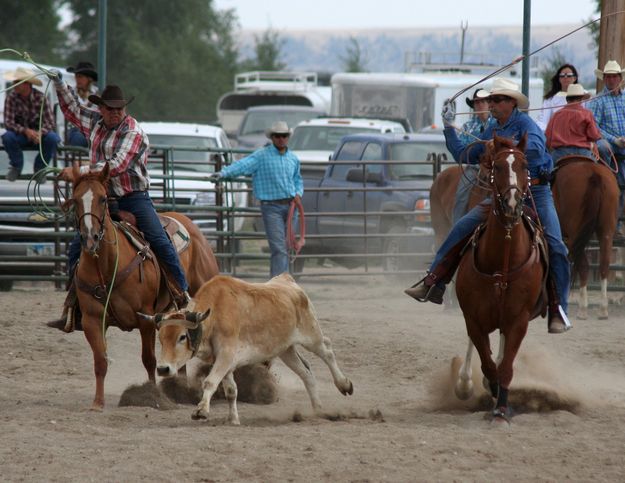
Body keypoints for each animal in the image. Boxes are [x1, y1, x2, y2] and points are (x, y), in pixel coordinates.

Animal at [66, 164, 219, 410]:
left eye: (102, 198)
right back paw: (181, 388)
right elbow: (100, 360)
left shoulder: (145, 318)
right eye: (75, 199)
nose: (90, 238)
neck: (106, 266)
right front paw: (98, 402)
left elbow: (149, 359)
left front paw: (152, 396)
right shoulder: (92, 320)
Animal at [450, 136, 544, 424]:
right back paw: (466, 383)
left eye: (525, 165)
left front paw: (501, 408)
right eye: (498, 166)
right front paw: (477, 386)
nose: (512, 203)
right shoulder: (473, 318)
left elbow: (505, 366)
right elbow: (487, 362)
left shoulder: (519, 320)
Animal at [552, 159, 616, 322]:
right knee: (604, 265)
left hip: (576, 233)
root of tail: (593, 173)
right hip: (606, 231)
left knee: (584, 266)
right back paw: (603, 310)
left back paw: (582, 309)